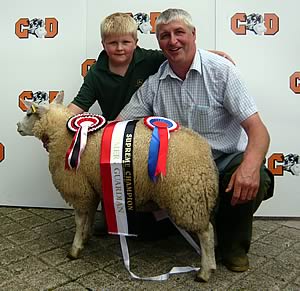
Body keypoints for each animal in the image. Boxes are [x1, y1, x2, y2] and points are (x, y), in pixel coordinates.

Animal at [17, 92, 218, 282]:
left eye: (28, 113)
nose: (18, 126)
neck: (62, 133)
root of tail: (204, 151)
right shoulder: (90, 188)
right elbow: (90, 215)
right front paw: (86, 237)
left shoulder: (77, 188)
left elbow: (79, 220)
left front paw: (74, 249)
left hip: (187, 197)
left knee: (206, 232)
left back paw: (205, 271)